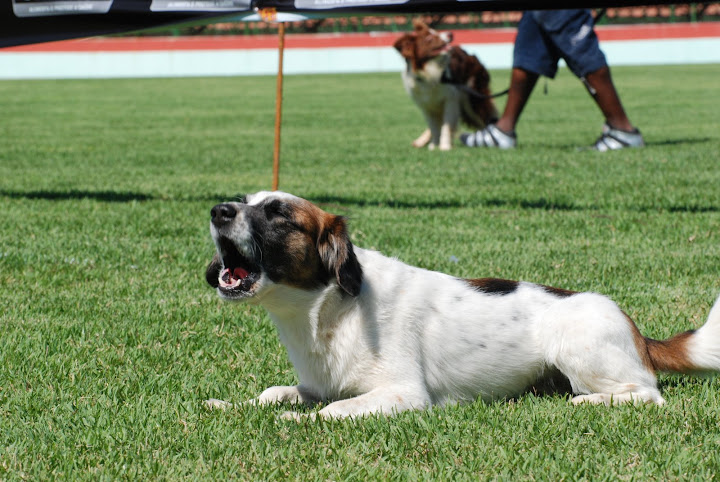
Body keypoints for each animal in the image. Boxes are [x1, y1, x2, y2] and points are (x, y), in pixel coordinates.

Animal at [394, 20, 500, 151]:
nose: (450, 34)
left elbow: (446, 125)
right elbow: (434, 127)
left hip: (472, 99)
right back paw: (421, 141)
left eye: (435, 31)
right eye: (429, 38)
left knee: (487, 117)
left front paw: (444, 147)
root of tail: (471, 55)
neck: (430, 73)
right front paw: (434, 145)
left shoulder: (450, 100)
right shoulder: (426, 105)